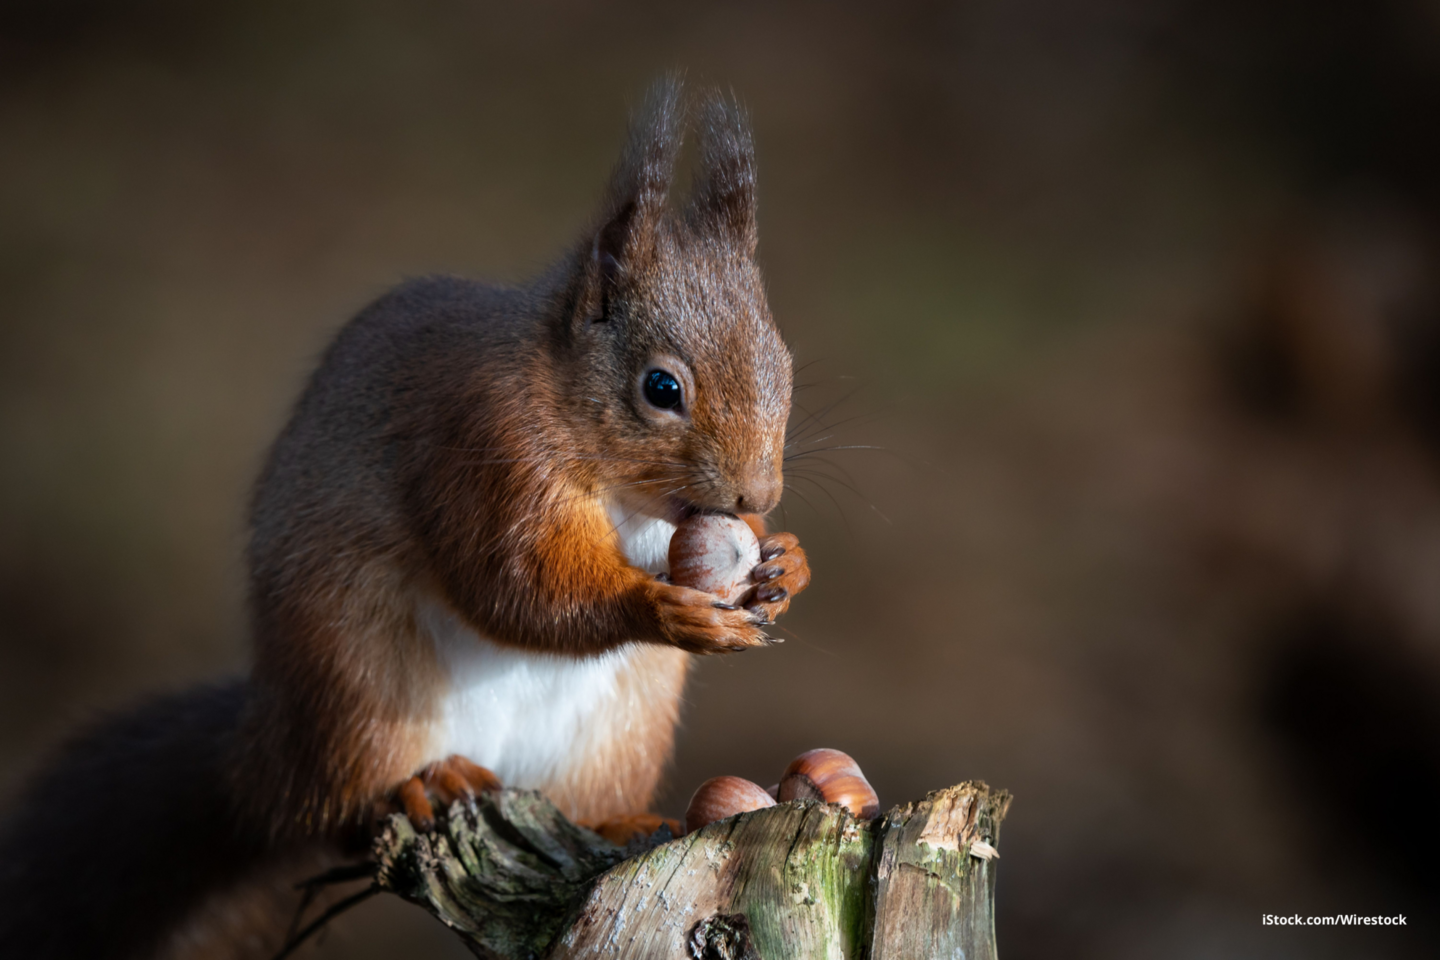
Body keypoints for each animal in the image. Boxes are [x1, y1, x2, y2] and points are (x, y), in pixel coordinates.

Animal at [0, 79, 810, 960]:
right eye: (661, 389)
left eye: (784, 365)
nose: (755, 497)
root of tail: (263, 762)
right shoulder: (484, 450)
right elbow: (517, 586)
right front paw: (664, 606)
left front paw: (787, 564)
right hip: (356, 682)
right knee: (343, 809)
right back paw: (425, 783)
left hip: (621, 731)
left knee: (582, 804)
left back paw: (623, 821)